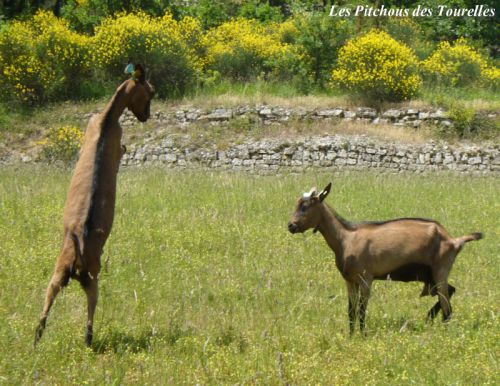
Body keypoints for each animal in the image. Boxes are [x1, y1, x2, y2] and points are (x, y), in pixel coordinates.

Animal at [34, 63, 154, 346]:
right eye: (151, 92)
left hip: (59, 272)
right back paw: (88, 338)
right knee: (91, 304)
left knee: (49, 296)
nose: (146, 116)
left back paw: (37, 336)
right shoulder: (118, 144)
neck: (107, 119)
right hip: (93, 275)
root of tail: (78, 249)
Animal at [288, 182, 482, 334]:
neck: (345, 238)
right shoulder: (350, 280)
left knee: (447, 303)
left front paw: (363, 336)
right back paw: (430, 318)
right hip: (430, 276)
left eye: (305, 206)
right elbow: (350, 310)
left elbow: (361, 309)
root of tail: (454, 240)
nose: (291, 225)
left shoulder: (366, 278)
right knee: (450, 292)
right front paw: (351, 336)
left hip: (440, 269)